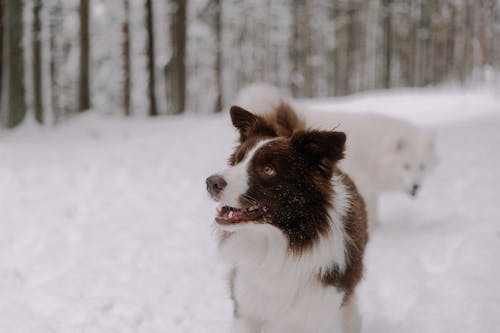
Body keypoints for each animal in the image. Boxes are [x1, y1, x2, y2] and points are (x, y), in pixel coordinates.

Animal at [206, 104, 368, 332]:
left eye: (268, 169)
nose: (210, 182)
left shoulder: (321, 313)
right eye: (237, 160)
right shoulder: (246, 309)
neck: (278, 242)